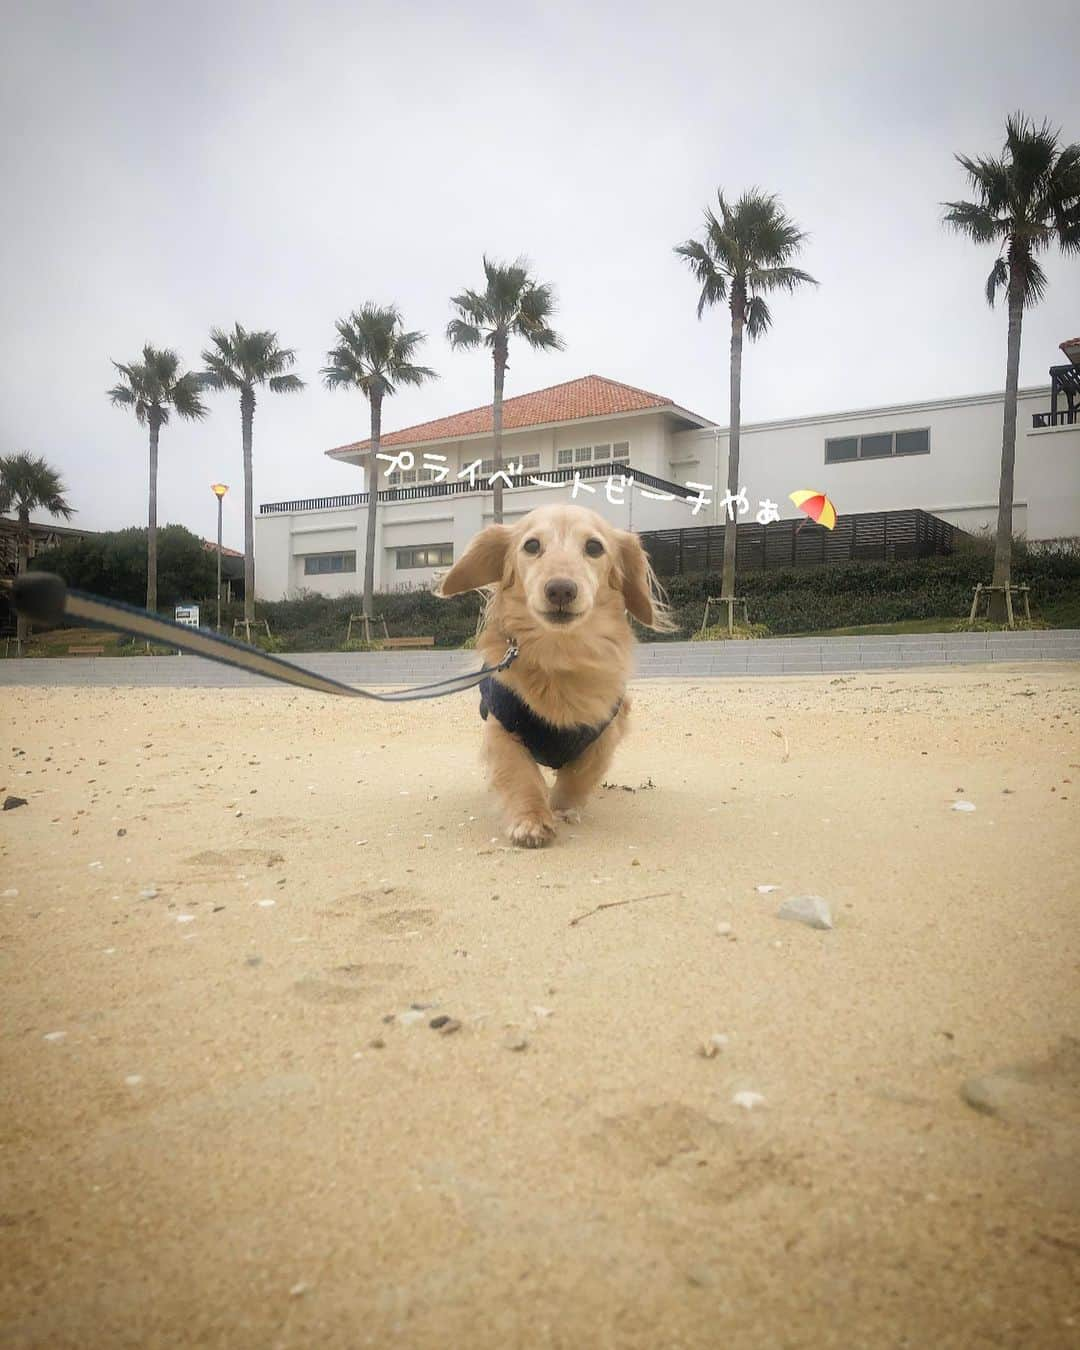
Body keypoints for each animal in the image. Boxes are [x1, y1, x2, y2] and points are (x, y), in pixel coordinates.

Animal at [437, 507, 669, 842]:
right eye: (531, 545)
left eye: (594, 547)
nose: (561, 589)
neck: (559, 653)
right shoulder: (503, 727)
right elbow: (520, 775)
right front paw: (531, 819)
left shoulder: (605, 730)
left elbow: (579, 773)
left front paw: (562, 808)